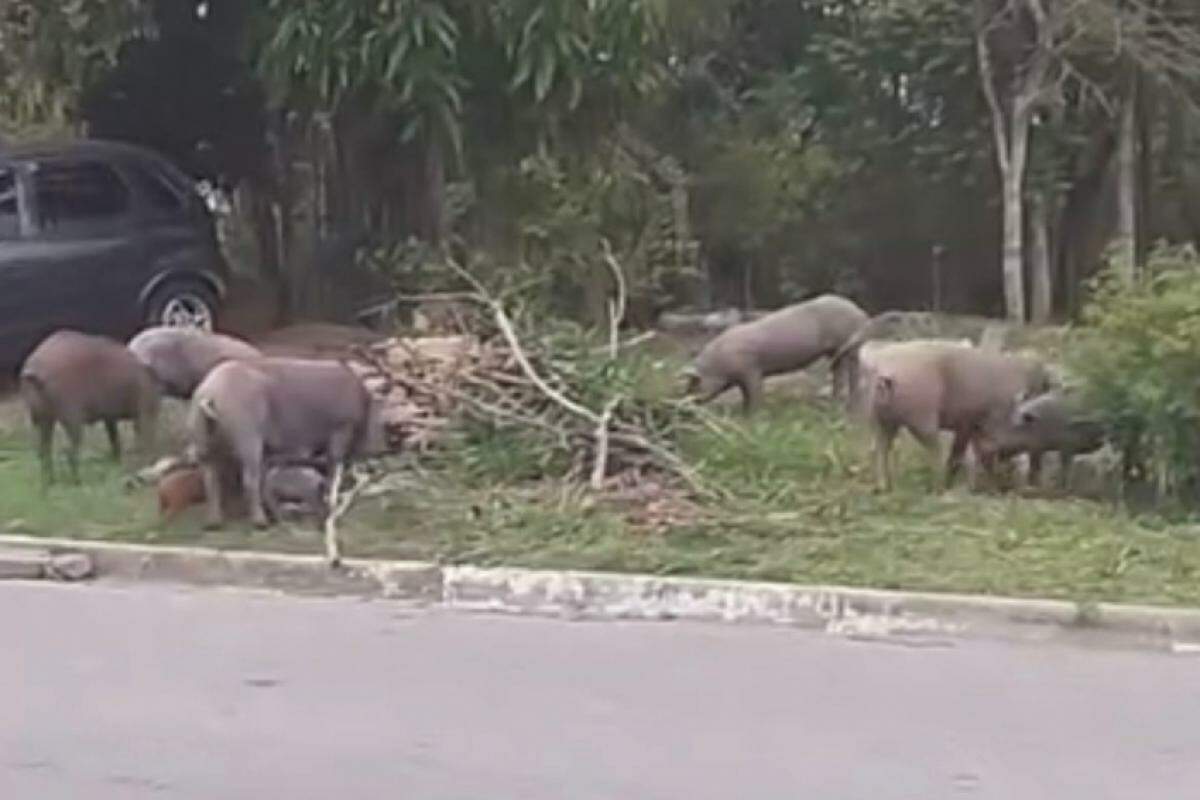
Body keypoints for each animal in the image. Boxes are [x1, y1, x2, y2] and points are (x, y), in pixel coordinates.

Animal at [20, 328, 162, 484]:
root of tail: (35, 370)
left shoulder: (110, 416)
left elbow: (115, 438)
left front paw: (117, 462)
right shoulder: (144, 410)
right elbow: (143, 438)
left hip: (41, 418)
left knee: (44, 450)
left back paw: (49, 482)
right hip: (71, 416)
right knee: (69, 452)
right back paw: (77, 482)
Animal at [186, 357, 393, 532]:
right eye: (382, 421)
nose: (382, 449)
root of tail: (210, 393)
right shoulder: (341, 428)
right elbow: (335, 460)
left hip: (201, 435)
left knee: (210, 479)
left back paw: (213, 524)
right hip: (246, 431)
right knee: (249, 479)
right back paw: (261, 523)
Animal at [686, 297, 873, 417]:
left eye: (695, 383)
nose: (685, 407)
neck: (719, 365)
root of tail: (860, 312)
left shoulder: (751, 370)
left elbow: (754, 392)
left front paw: (752, 415)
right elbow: (745, 394)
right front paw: (744, 412)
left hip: (848, 344)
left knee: (851, 370)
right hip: (835, 351)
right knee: (840, 371)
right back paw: (837, 403)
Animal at [864, 340, 1051, 491]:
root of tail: (886, 375)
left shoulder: (972, 425)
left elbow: (973, 452)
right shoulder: (980, 423)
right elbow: (971, 453)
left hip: (880, 419)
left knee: (879, 448)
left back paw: (883, 487)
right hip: (922, 419)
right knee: (933, 451)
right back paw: (939, 488)